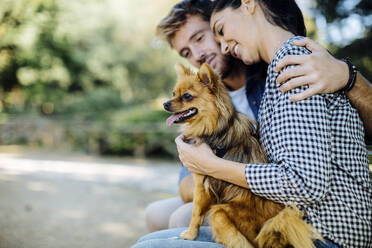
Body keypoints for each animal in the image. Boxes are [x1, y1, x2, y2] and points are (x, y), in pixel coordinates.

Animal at [163, 62, 322, 248]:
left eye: (187, 96)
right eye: (173, 94)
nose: (165, 104)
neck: (216, 126)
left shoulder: (202, 184)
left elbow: (196, 213)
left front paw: (190, 234)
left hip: (219, 213)